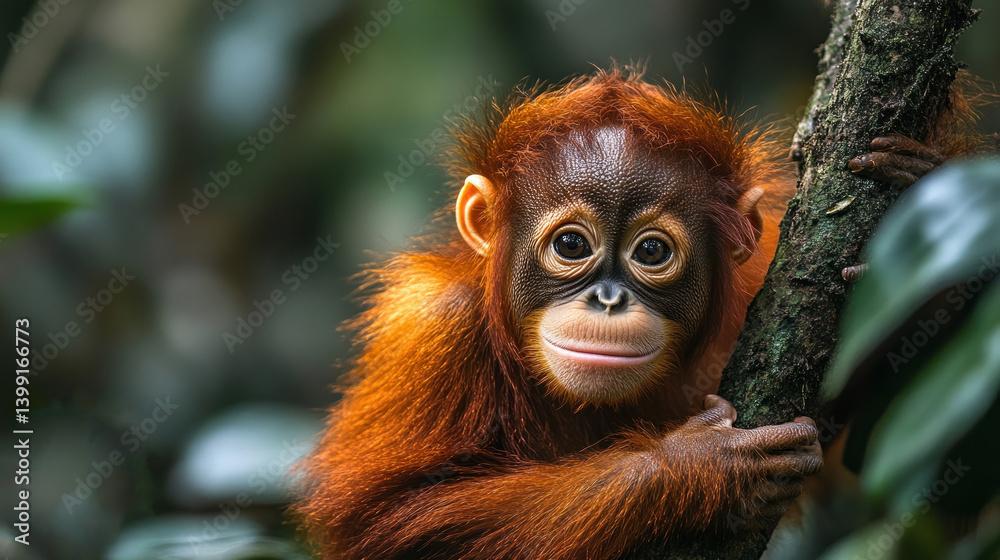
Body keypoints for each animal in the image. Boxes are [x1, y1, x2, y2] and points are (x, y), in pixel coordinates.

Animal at [293, 68, 957, 559]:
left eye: (652, 253)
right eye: (570, 245)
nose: (609, 300)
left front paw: (918, 193)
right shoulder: (435, 331)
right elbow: (388, 523)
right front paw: (699, 469)